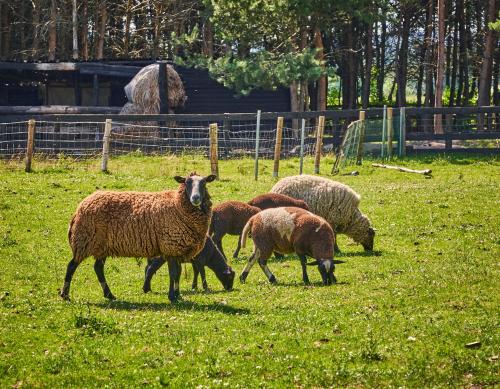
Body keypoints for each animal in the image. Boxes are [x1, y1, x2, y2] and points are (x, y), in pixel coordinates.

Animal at [59, 171, 216, 302]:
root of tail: (80, 208)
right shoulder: (171, 246)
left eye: (204, 183)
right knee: (71, 266)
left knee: (98, 268)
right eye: (187, 182)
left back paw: (109, 295)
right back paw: (65, 295)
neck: (177, 205)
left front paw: (177, 295)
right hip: (85, 241)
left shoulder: (177, 249)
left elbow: (177, 274)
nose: (195, 198)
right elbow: (173, 274)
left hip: (101, 246)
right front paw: (172, 297)